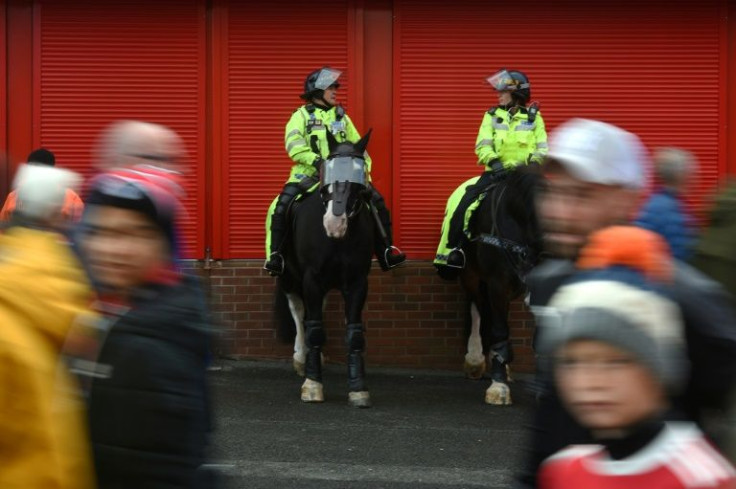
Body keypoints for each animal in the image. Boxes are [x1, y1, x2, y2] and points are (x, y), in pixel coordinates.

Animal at [274, 130, 374, 408]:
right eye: (327, 169)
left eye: (359, 171)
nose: (334, 223)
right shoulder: (311, 279)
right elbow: (314, 328)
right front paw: (312, 385)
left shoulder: (358, 281)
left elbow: (354, 333)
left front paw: (358, 389)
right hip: (289, 278)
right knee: (299, 313)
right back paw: (301, 358)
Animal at [460, 168, 540, 404]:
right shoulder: (497, 284)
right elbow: (498, 329)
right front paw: (498, 387)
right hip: (471, 276)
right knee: (478, 308)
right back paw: (476, 360)